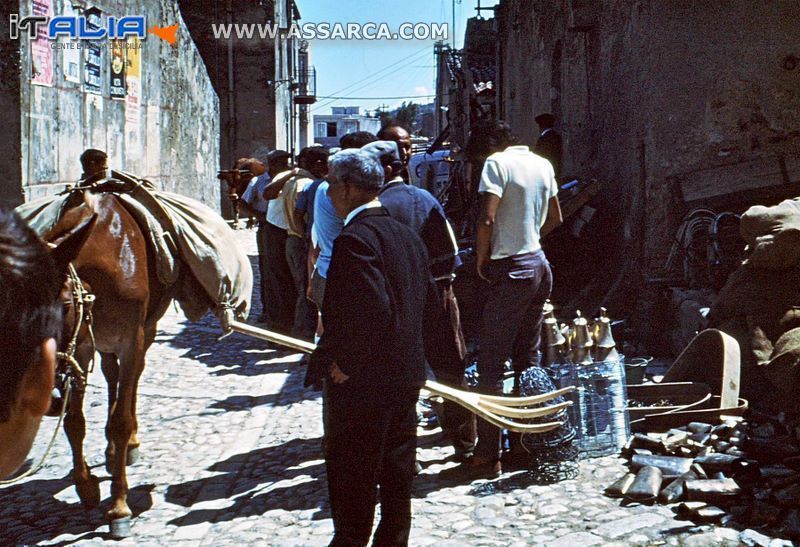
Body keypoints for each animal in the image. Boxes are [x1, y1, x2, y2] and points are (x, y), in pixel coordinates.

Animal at [43, 193, 209, 536]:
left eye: (64, 306)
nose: (48, 398)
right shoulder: (82, 345)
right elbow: (74, 421)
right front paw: (86, 487)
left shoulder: (130, 340)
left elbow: (120, 421)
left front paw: (119, 508)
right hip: (102, 344)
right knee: (112, 377)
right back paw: (110, 453)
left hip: (144, 332)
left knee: (129, 386)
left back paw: (128, 446)